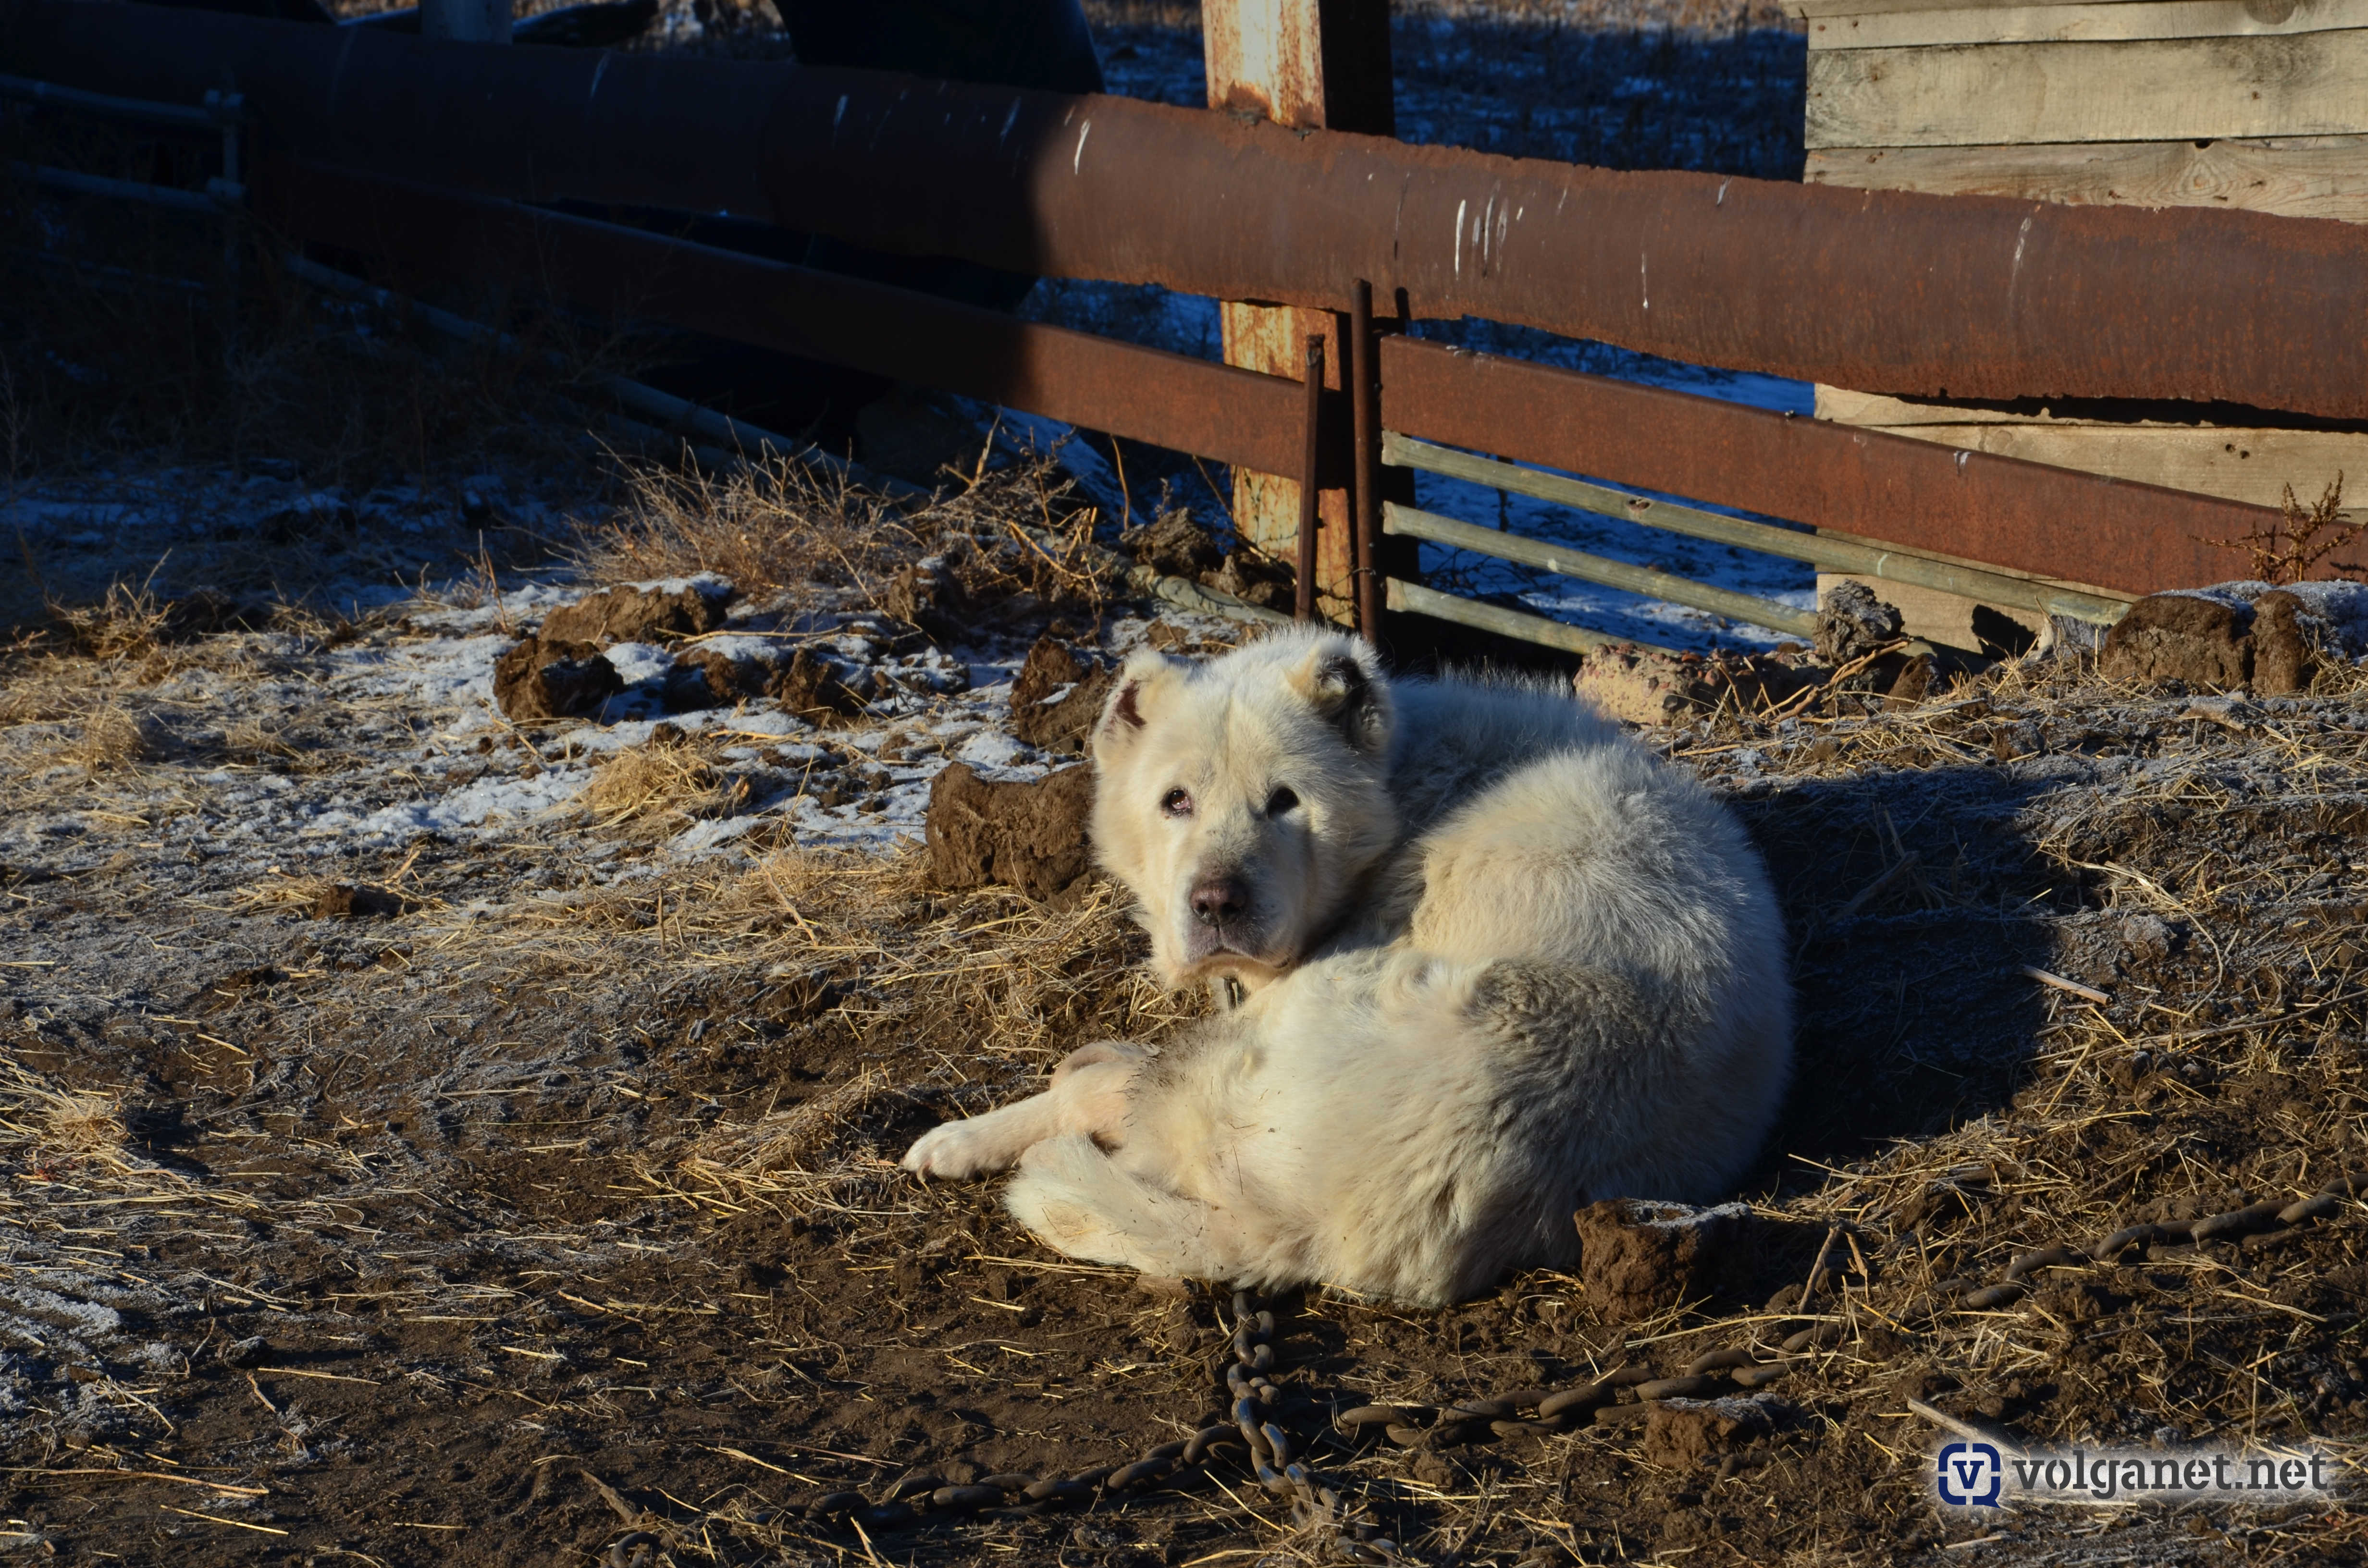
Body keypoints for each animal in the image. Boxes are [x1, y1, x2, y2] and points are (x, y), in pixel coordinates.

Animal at [895, 620, 1780, 1307]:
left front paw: (968, 1134)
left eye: (1285, 800)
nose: (1216, 902)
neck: (1409, 782)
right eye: (1176, 800)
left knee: (1114, 1095)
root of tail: (1311, 1229)